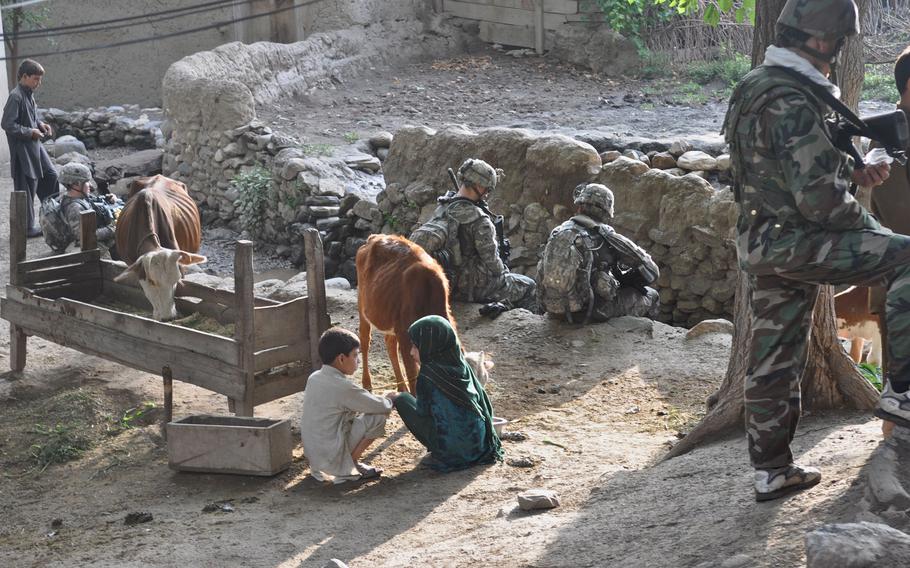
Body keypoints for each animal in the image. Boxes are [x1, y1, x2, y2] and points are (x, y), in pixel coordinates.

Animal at [356, 233, 456, 392]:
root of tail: (376, 236)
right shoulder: (404, 333)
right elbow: (412, 374)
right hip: (362, 304)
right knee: (365, 340)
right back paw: (367, 383)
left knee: (390, 343)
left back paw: (402, 387)